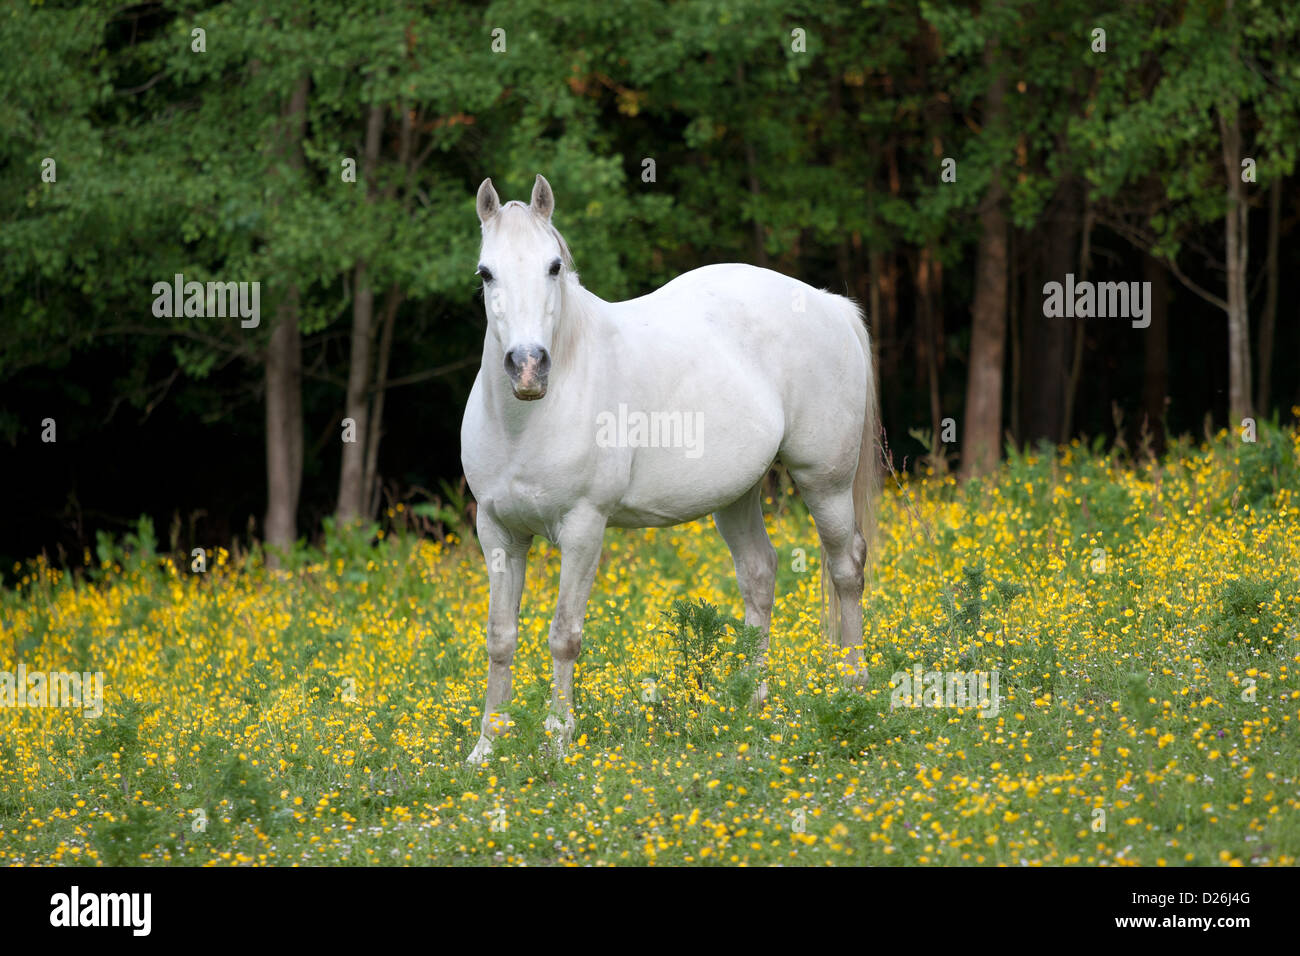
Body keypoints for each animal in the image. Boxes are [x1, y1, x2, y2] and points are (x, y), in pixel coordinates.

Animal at [460, 174, 878, 763]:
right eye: (486, 272)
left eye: (553, 267)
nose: (527, 367)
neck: (529, 418)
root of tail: (828, 303)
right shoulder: (497, 530)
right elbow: (500, 637)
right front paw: (486, 748)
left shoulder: (583, 529)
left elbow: (565, 635)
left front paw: (558, 740)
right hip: (737, 496)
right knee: (759, 574)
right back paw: (751, 700)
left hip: (826, 481)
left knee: (846, 570)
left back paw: (852, 685)